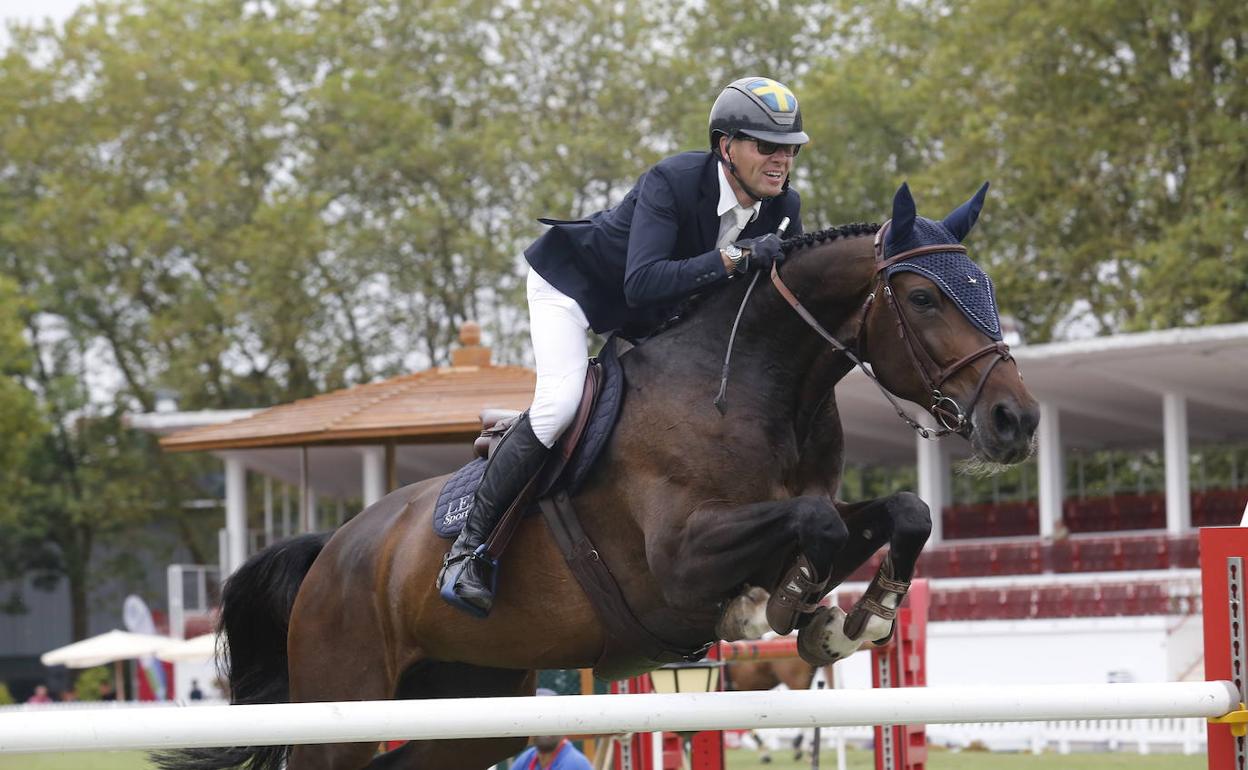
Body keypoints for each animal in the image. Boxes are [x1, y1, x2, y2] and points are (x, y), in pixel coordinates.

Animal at [156, 182, 1038, 768]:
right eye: (922, 298)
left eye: (987, 287)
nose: (1017, 421)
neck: (764, 388)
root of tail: (334, 550)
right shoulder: (678, 563)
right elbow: (812, 531)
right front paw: (778, 604)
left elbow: (903, 510)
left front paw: (856, 618)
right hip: (344, 700)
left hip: (476, 705)